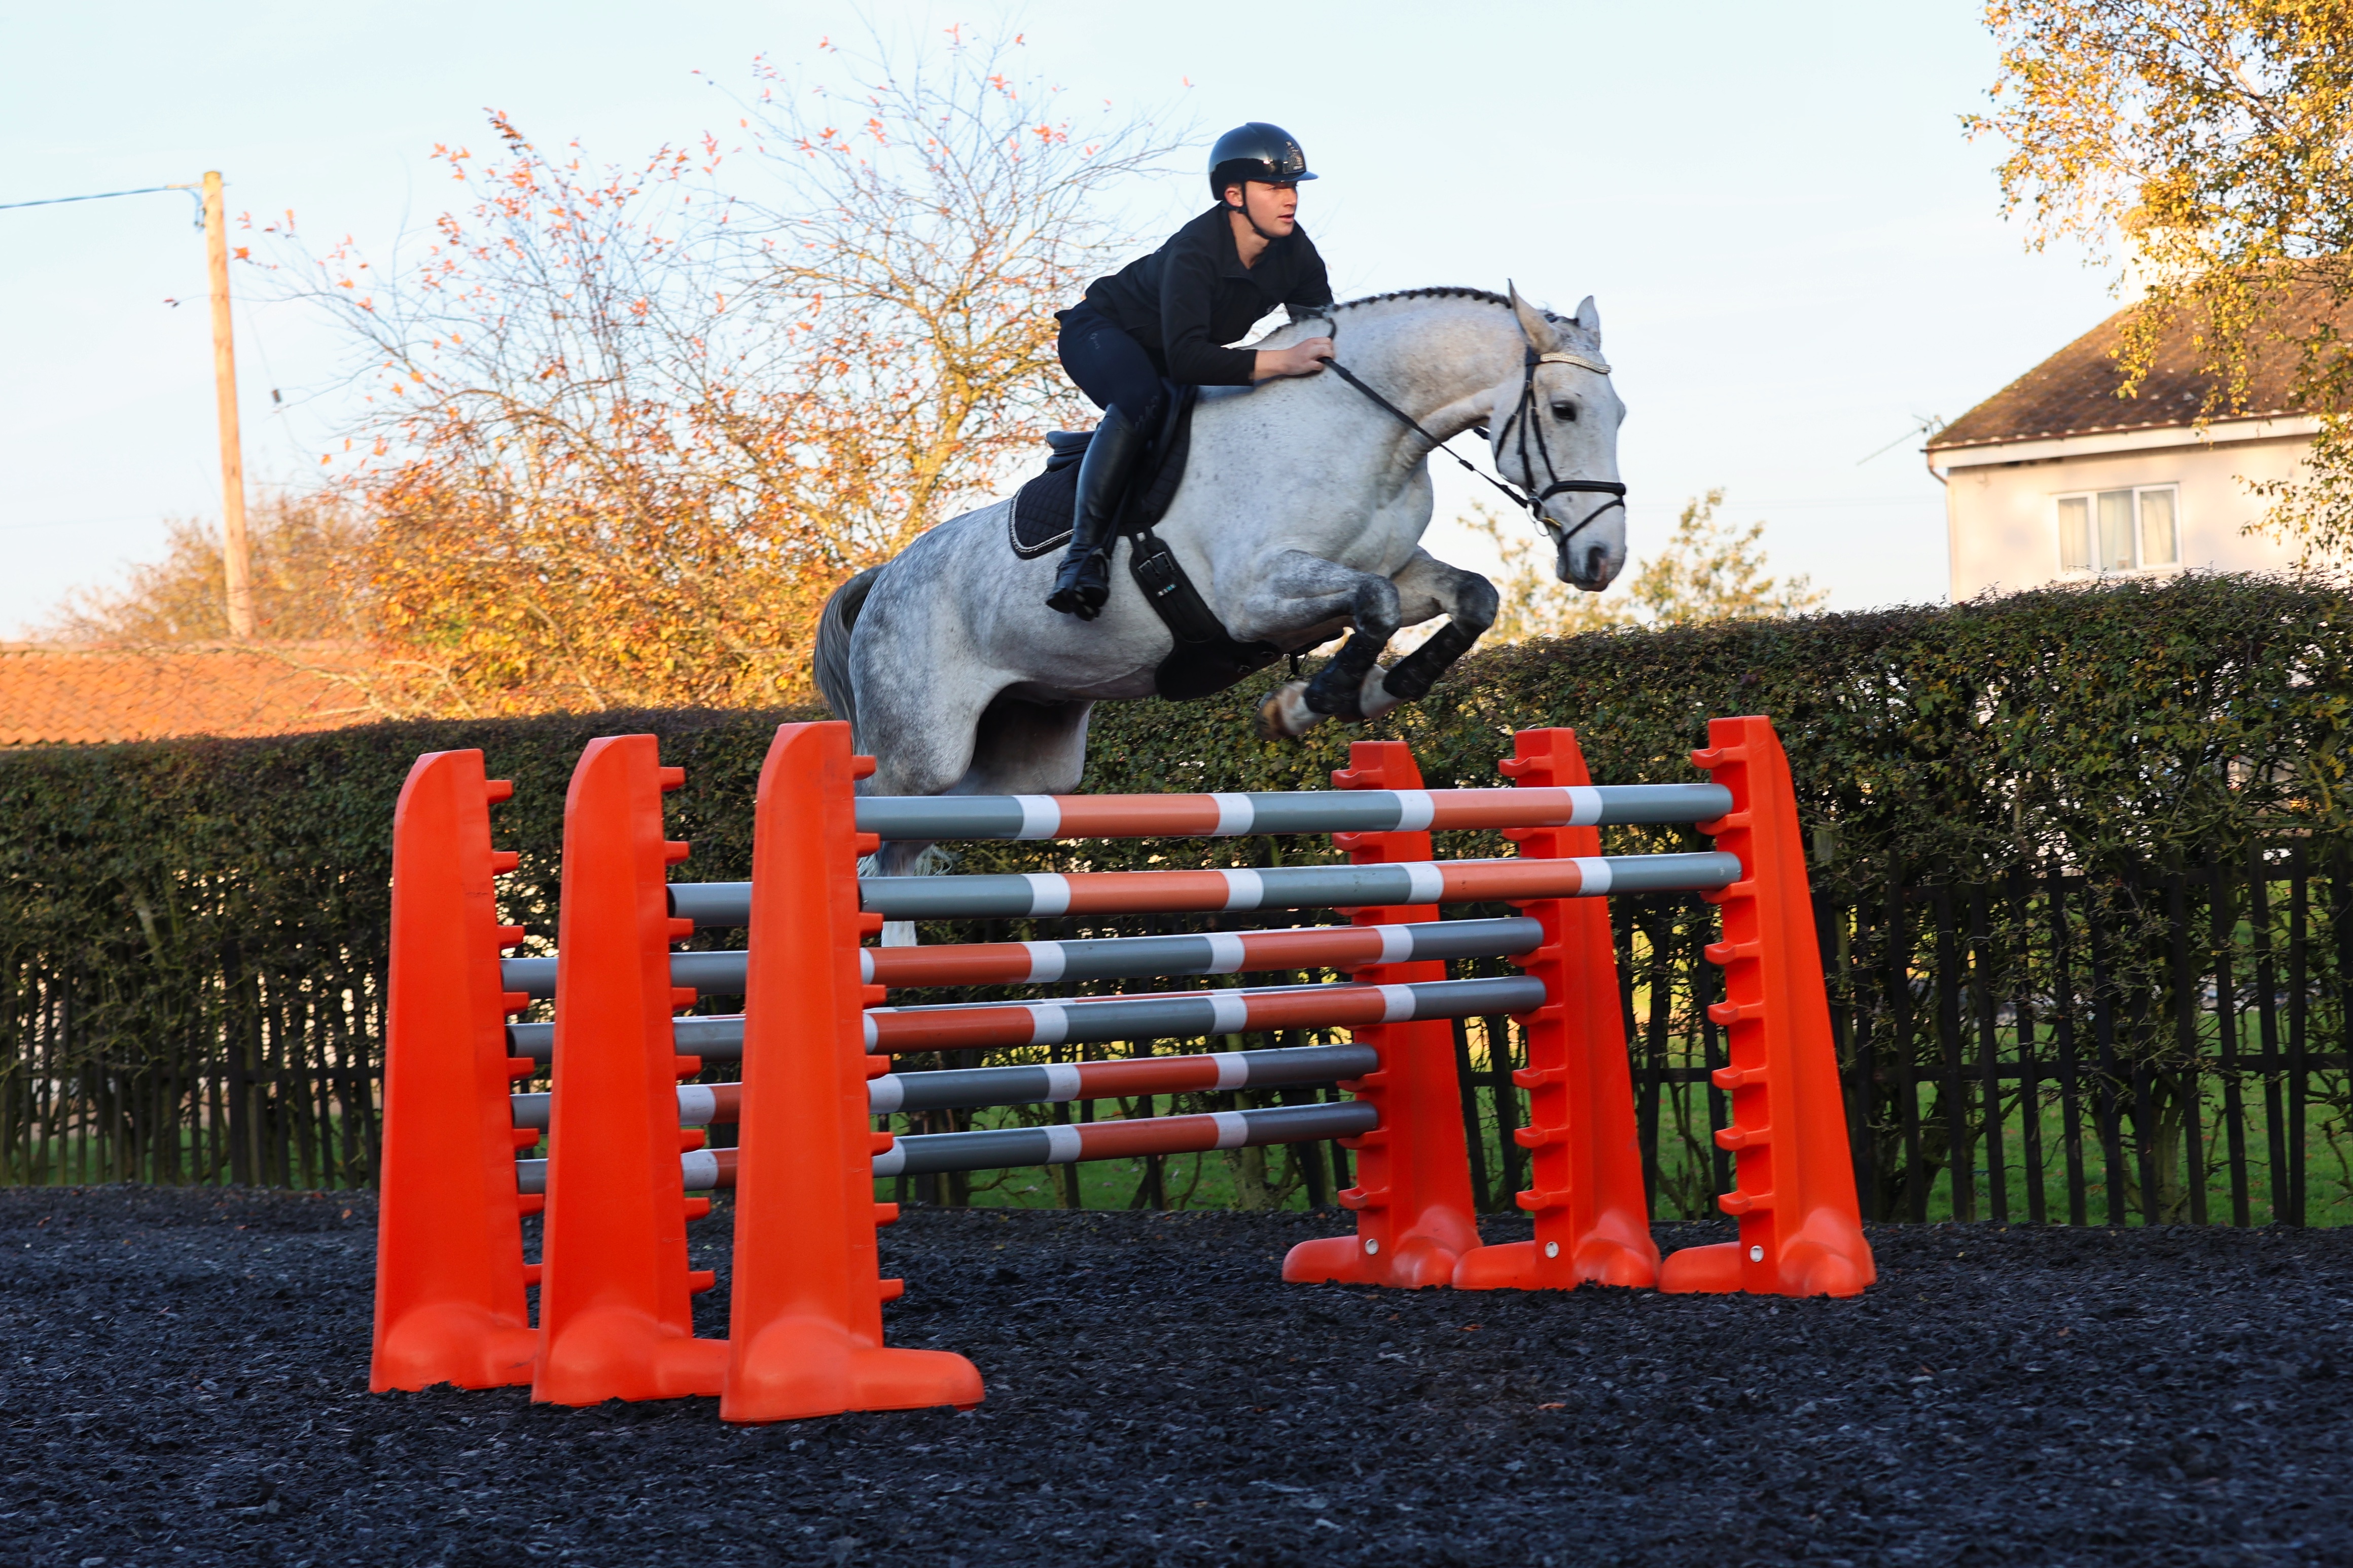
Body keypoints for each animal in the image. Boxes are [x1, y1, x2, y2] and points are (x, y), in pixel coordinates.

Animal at [809, 278, 1619, 869]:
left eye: (1620, 415)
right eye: (1564, 409)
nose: (1602, 560)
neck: (1359, 432)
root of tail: (884, 579)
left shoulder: (1392, 567)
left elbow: (1468, 597)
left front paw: (1383, 689)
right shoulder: (1255, 600)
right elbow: (1378, 604)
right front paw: (1311, 702)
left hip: (1030, 760)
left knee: (925, 842)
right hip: (920, 754)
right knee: (880, 848)